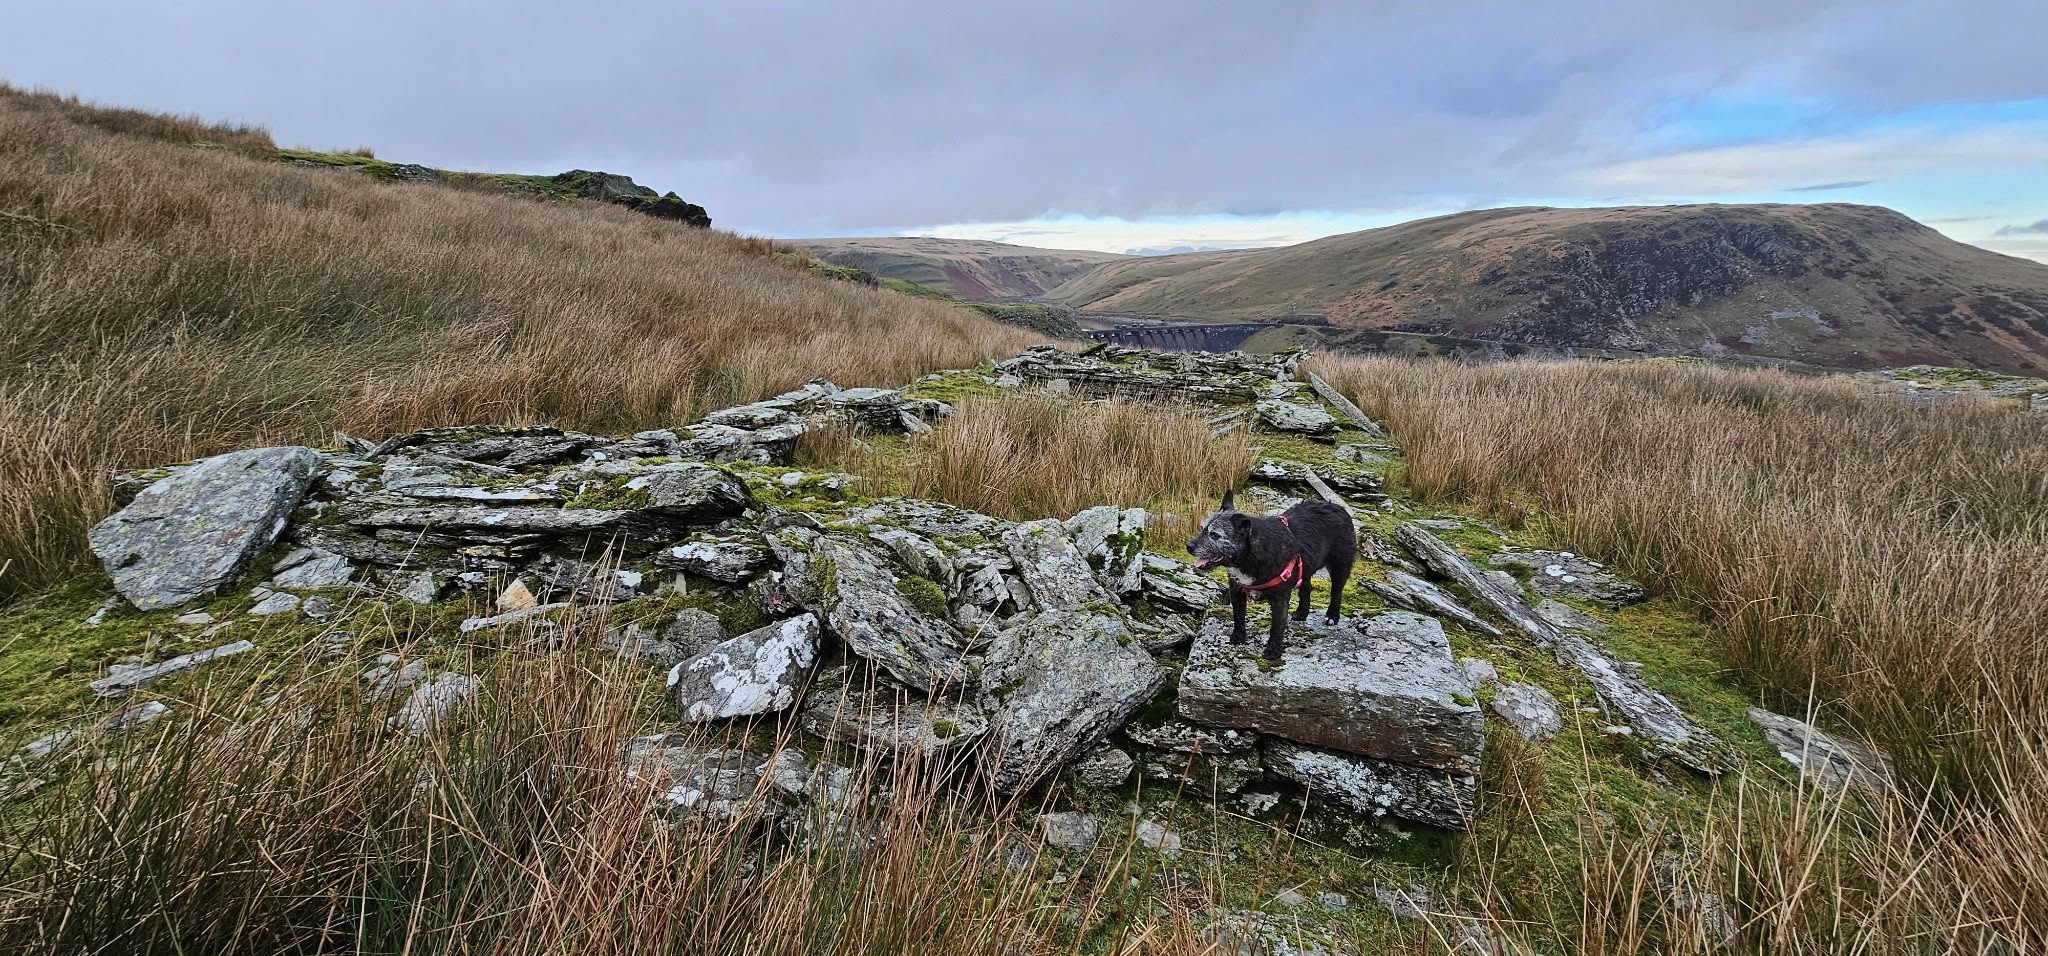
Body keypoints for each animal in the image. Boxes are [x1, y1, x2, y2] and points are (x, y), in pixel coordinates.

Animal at [1186, 488, 1356, 661]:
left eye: (1214, 535)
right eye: (1202, 528)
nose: (1189, 546)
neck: (1250, 555)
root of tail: (1338, 507)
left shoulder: (1280, 598)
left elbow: (1277, 626)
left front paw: (1273, 650)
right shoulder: (1237, 591)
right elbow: (1238, 616)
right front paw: (1238, 637)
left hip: (1340, 567)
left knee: (1336, 592)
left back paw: (1332, 616)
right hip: (1306, 568)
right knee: (1306, 588)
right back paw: (1302, 612)